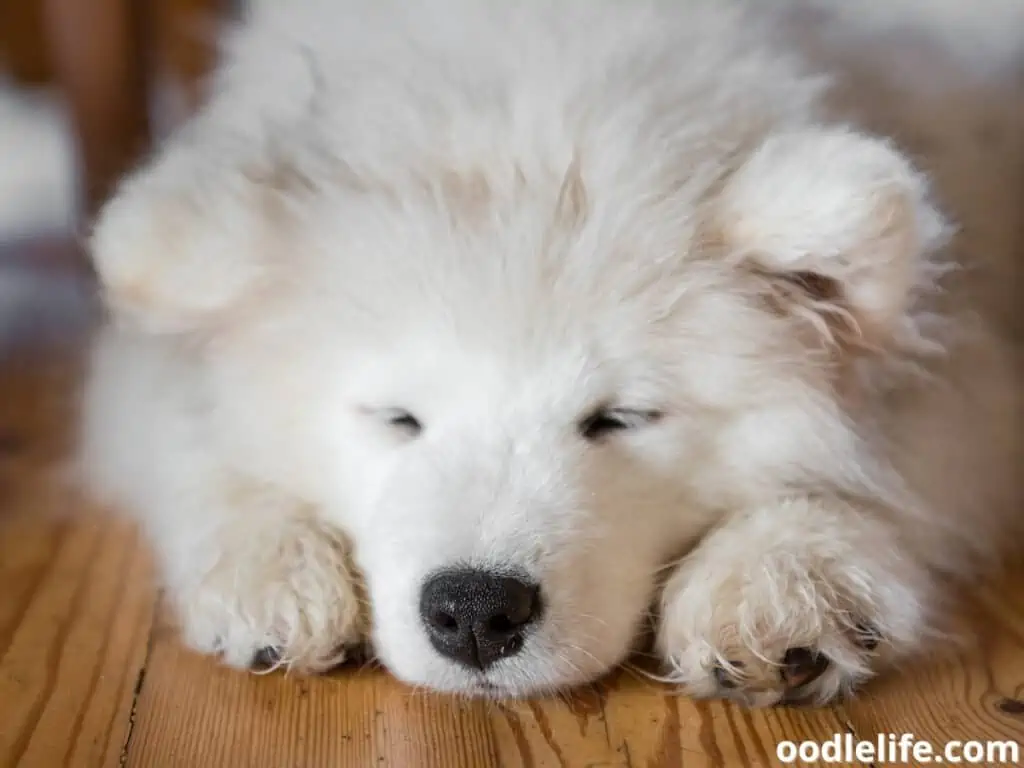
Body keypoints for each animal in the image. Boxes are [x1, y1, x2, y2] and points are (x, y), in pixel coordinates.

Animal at [77, 1, 1024, 708]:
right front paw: (269, 571)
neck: (532, 108)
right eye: (398, 418)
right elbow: (197, 450)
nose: (475, 612)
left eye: (620, 419)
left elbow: (890, 478)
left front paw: (779, 586)